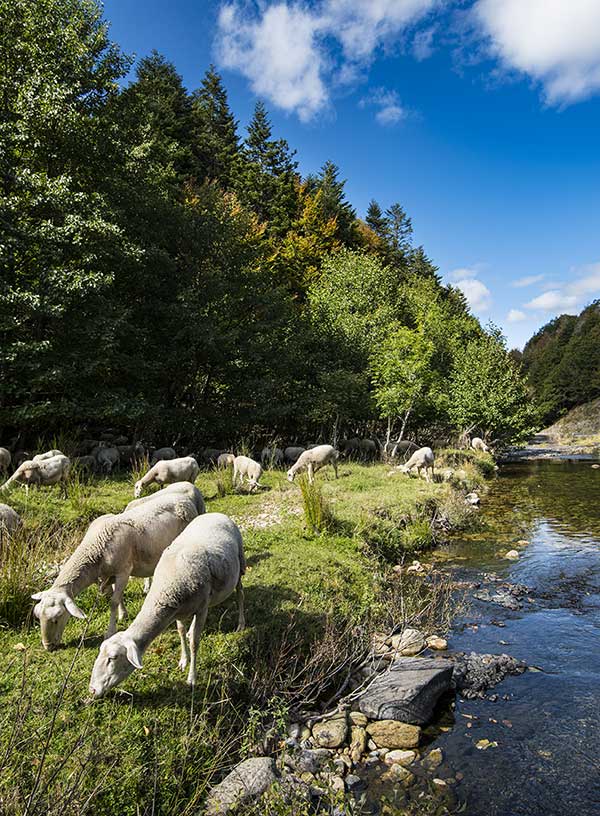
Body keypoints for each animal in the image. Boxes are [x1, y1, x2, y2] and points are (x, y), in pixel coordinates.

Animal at [31, 488, 200, 652]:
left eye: (57, 617)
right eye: (37, 615)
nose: (48, 646)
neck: (96, 547)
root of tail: (186, 500)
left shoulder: (123, 572)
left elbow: (113, 601)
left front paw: (110, 631)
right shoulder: (111, 573)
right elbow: (117, 596)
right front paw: (123, 614)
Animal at [87, 512, 246, 700]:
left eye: (113, 658)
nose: (92, 690)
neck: (166, 587)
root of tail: (216, 514)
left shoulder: (202, 608)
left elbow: (194, 642)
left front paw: (192, 678)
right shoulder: (177, 610)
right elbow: (181, 632)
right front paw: (183, 660)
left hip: (240, 564)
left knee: (240, 593)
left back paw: (241, 623)